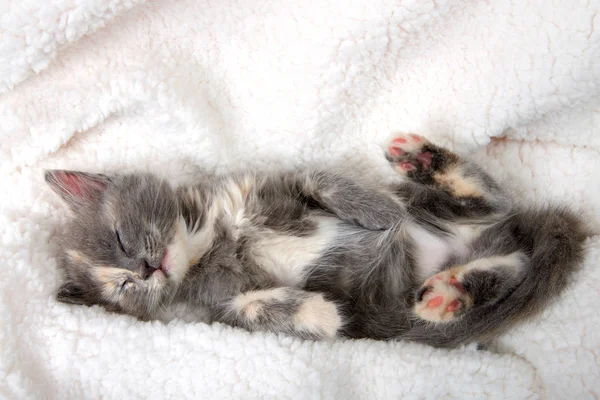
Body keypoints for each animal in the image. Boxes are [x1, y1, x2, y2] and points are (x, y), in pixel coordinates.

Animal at [44, 134, 588, 346]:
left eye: (120, 237)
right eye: (122, 288)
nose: (144, 270)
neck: (212, 238)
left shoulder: (270, 183)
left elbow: (318, 177)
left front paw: (379, 213)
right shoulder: (215, 307)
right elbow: (252, 308)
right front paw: (322, 315)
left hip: (439, 212)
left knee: (496, 203)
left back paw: (421, 162)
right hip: (403, 302)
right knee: (514, 264)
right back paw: (449, 292)